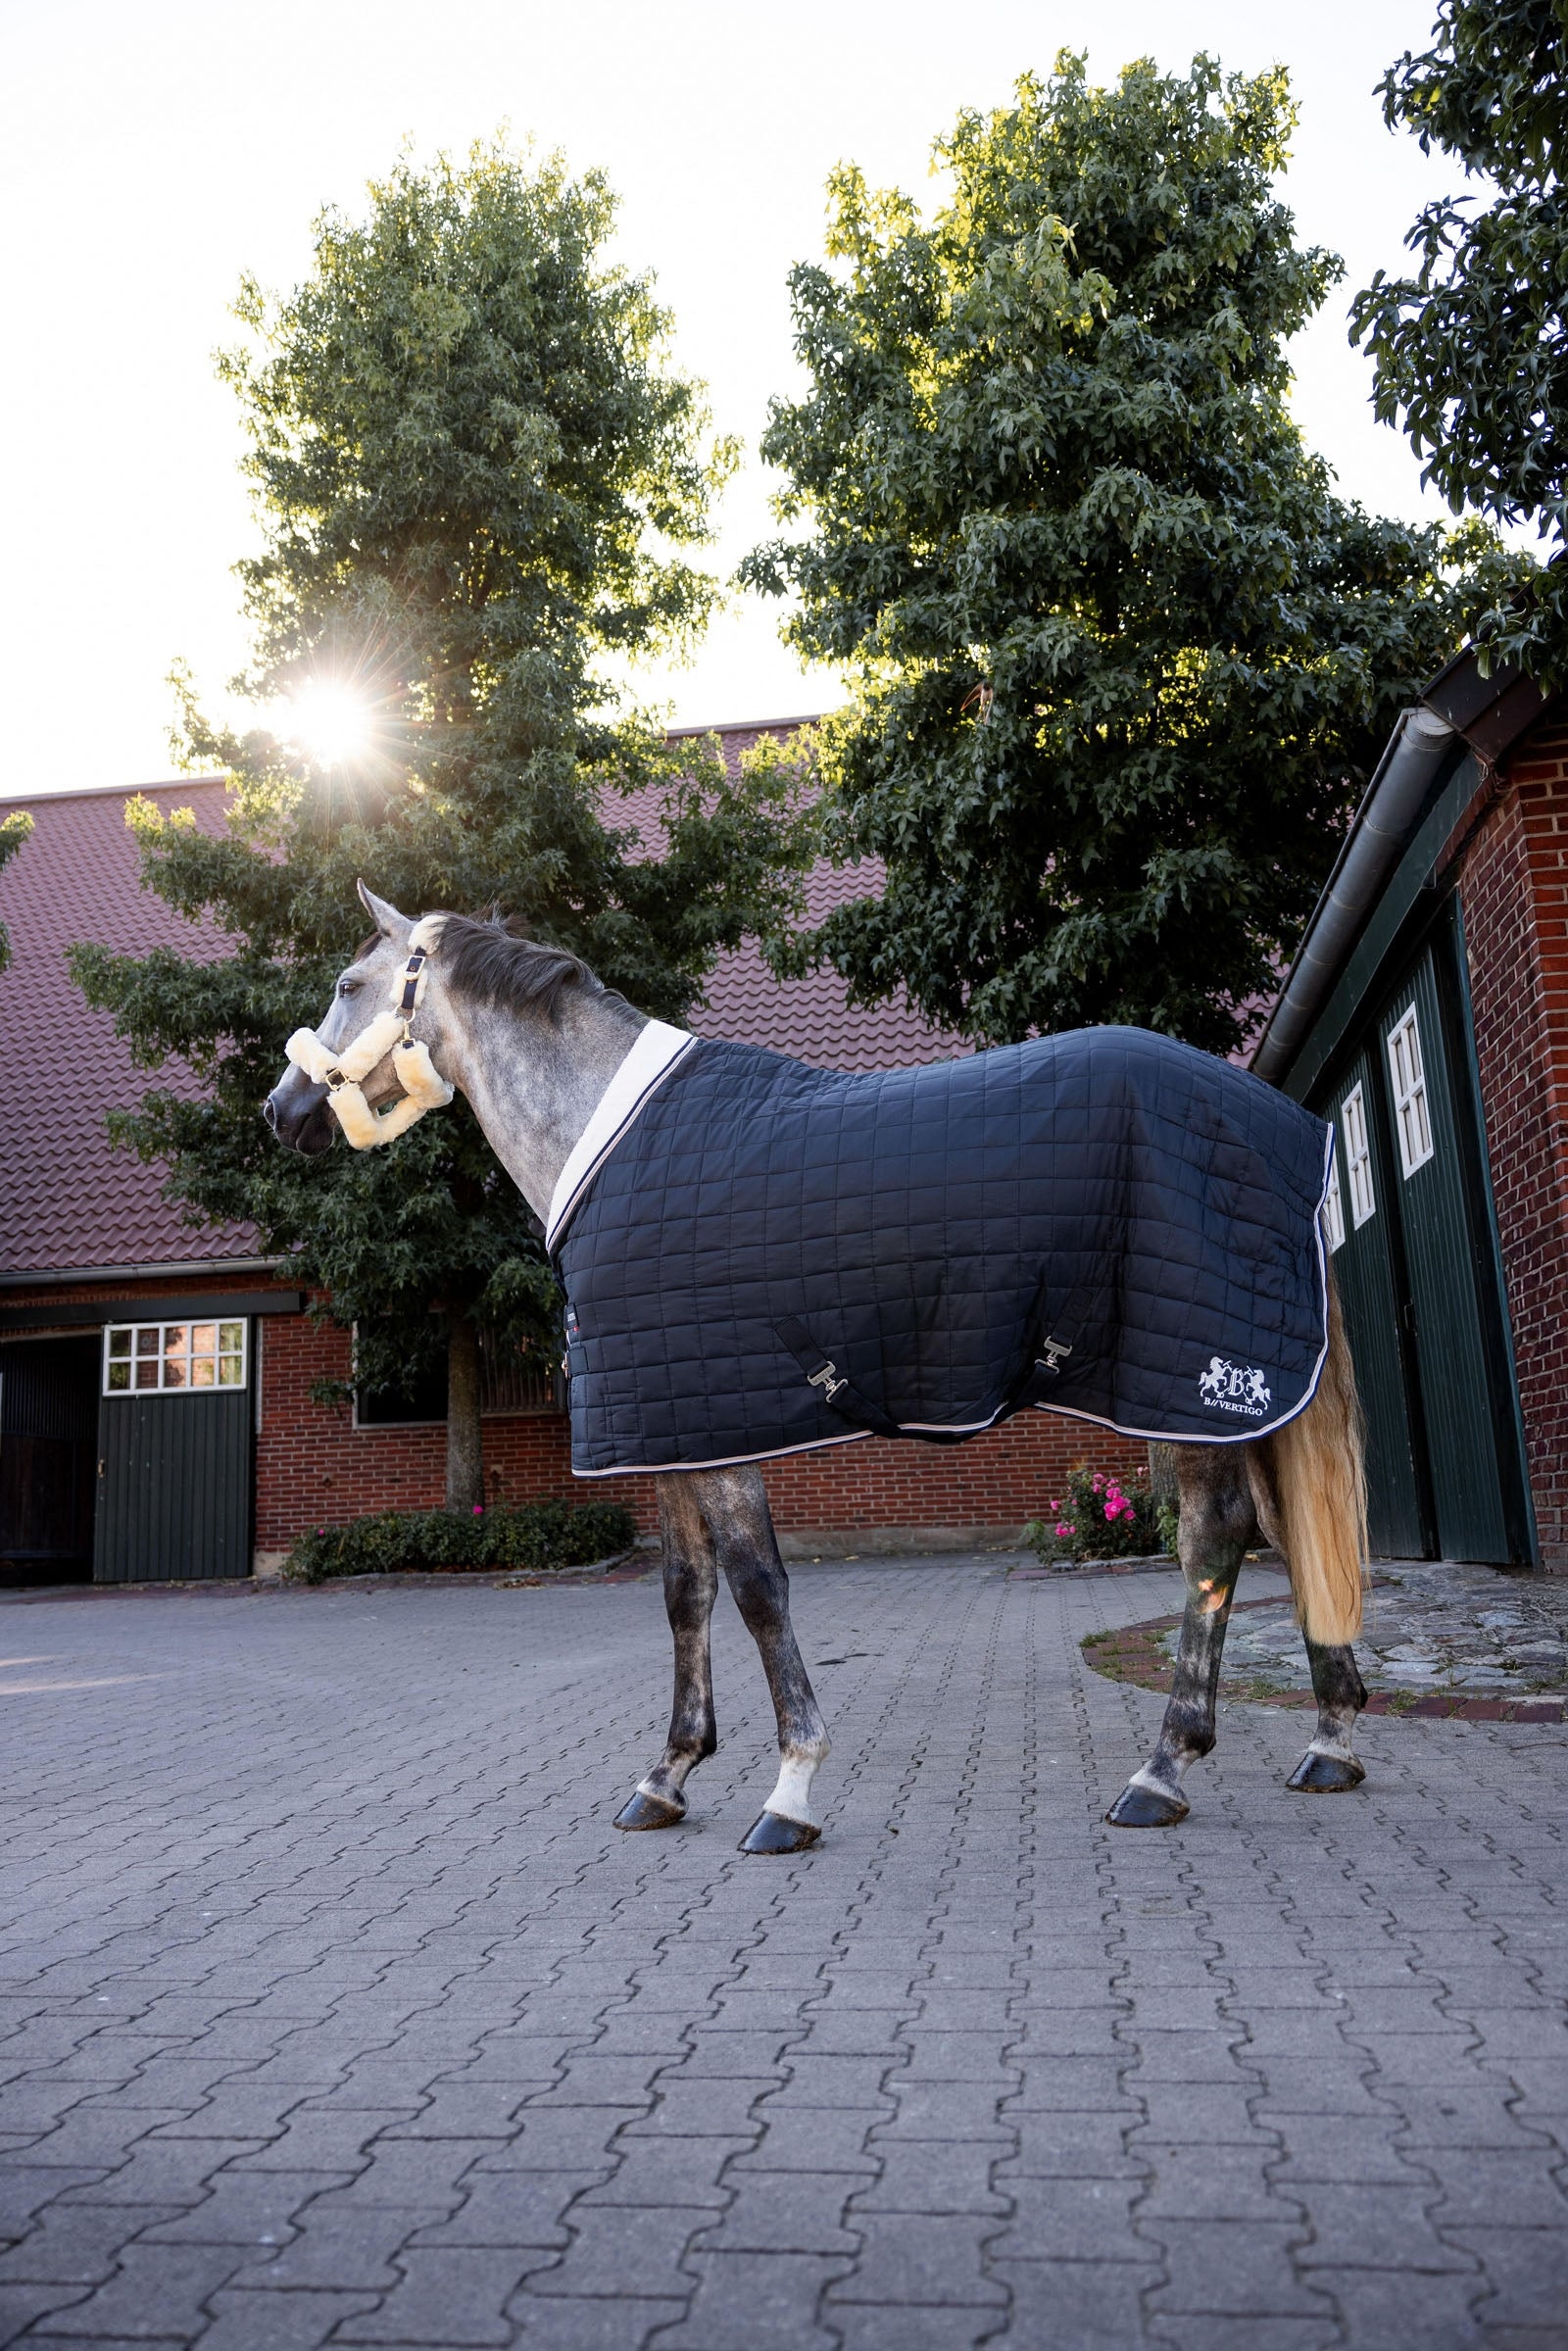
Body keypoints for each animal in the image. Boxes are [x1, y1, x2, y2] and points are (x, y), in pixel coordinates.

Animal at [264, 884, 1370, 1854]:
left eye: (349, 982)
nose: (283, 1109)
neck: (608, 1139)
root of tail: (1284, 1125)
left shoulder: (716, 1427)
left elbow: (757, 1589)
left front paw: (789, 1789)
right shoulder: (668, 1420)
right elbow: (686, 1590)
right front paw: (666, 1776)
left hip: (1198, 1391)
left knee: (1216, 1540)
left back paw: (1164, 1768)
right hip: (1232, 1399)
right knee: (1284, 1533)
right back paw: (1331, 1739)